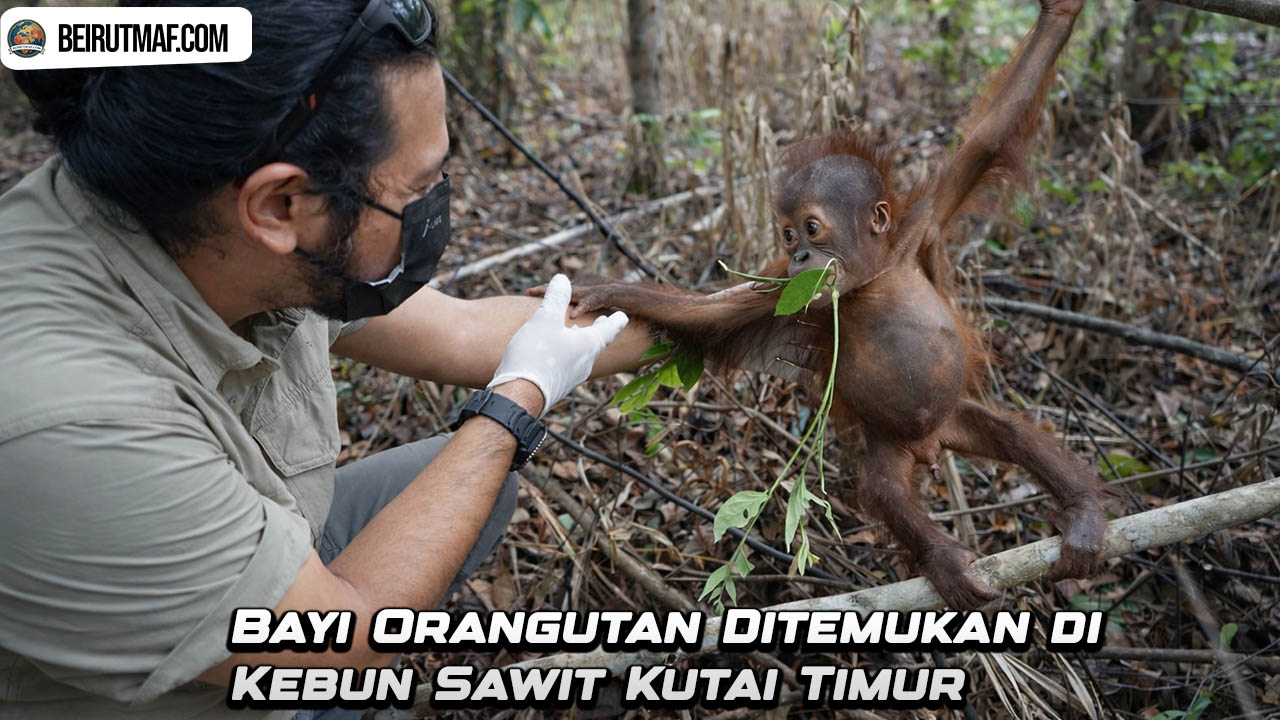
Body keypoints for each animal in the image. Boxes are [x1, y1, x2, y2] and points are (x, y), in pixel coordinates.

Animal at [532, 0, 1108, 610]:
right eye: (786, 237)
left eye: (810, 228)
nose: (802, 254)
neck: (869, 279)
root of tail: (932, 442)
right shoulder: (787, 294)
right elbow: (709, 317)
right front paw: (604, 291)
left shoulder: (923, 220)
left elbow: (990, 136)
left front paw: (1061, 14)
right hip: (891, 443)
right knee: (884, 491)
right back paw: (946, 561)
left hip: (957, 413)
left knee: (1017, 437)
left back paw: (1082, 514)